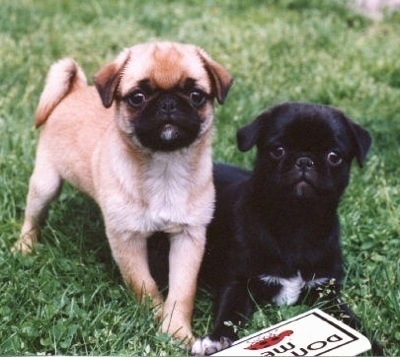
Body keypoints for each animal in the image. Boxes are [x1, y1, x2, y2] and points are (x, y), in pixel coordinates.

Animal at [14, 41, 231, 342]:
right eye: (137, 97)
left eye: (196, 95)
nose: (168, 103)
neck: (164, 166)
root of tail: (74, 91)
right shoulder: (126, 239)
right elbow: (144, 285)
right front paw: (156, 317)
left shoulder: (189, 237)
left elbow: (182, 291)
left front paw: (176, 331)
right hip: (45, 185)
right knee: (32, 218)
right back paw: (24, 247)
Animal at [191, 101, 382, 354]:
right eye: (278, 150)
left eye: (334, 157)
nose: (304, 160)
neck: (296, 221)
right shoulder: (238, 283)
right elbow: (229, 313)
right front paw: (215, 339)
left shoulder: (327, 293)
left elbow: (349, 320)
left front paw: (373, 343)